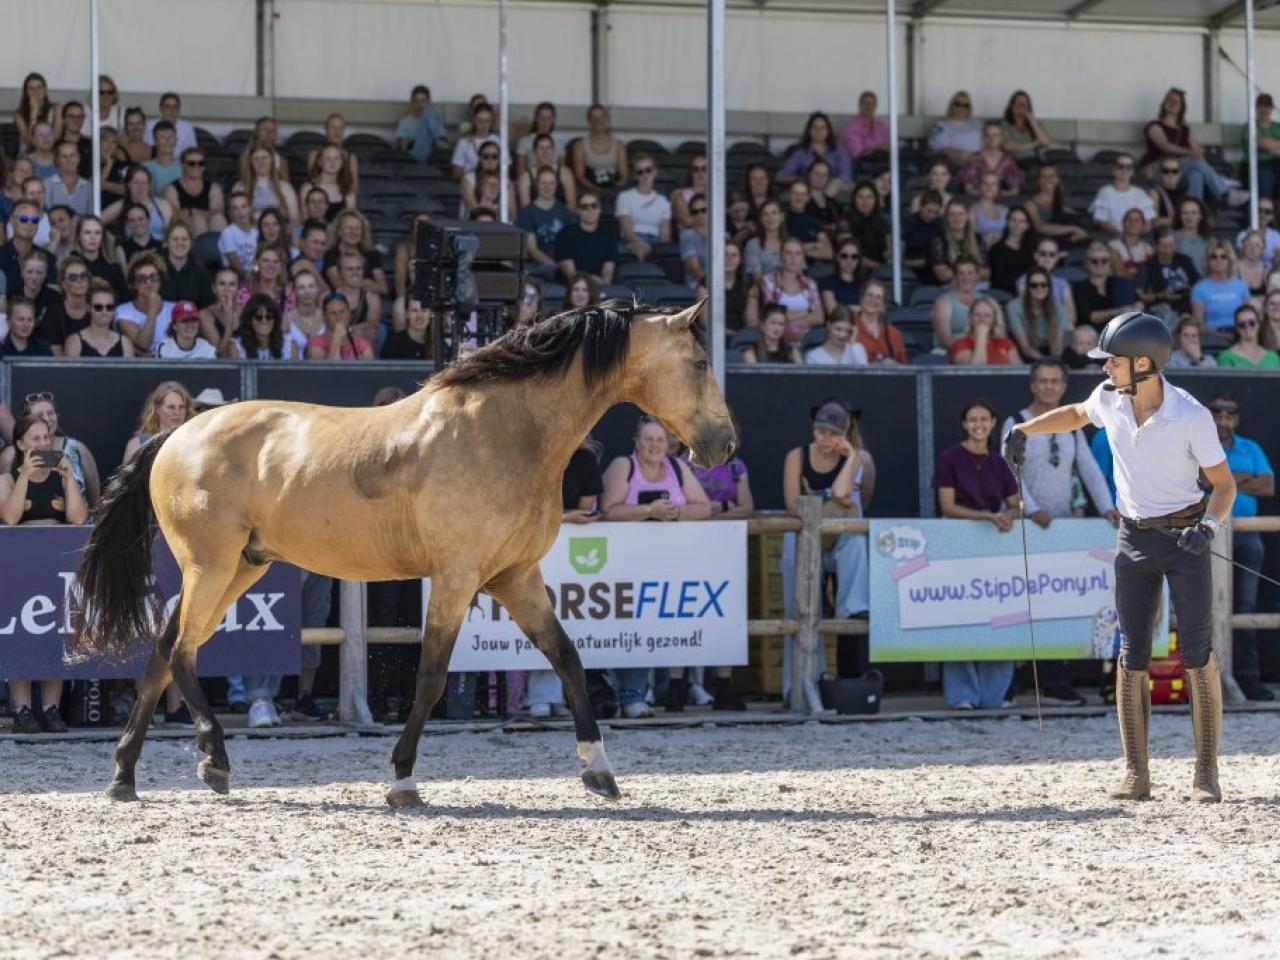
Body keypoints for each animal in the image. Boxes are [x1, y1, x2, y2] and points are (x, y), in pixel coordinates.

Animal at [73, 298, 736, 808]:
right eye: (701, 362)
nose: (724, 446)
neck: (505, 433)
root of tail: (177, 433)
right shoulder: (456, 577)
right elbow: (432, 677)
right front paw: (403, 781)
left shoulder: (516, 577)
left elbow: (569, 660)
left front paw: (598, 771)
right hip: (211, 566)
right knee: (182, 651)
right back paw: (214, 758)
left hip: (239, 568)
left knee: (164, 651)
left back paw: (124, 777)